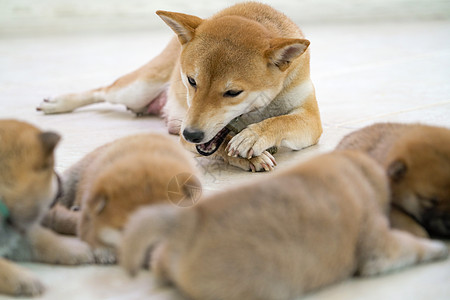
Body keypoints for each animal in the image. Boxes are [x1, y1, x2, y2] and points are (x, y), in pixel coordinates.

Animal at [0, 120, 93, 298]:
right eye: (50, 168)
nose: (60, 178)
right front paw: (21, 278)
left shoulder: (17, 234)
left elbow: (46, 240)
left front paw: (75, 249)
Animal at [37, 2, 322, 172]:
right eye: (191, 81)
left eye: (233, 93)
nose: (191, 134)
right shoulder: (186, 134)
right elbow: (224, 145)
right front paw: (249, 156)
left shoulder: (311, 120)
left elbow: (281, 121)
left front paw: (253, 136)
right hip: (137, 89)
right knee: (102, 90)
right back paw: (59, 103)